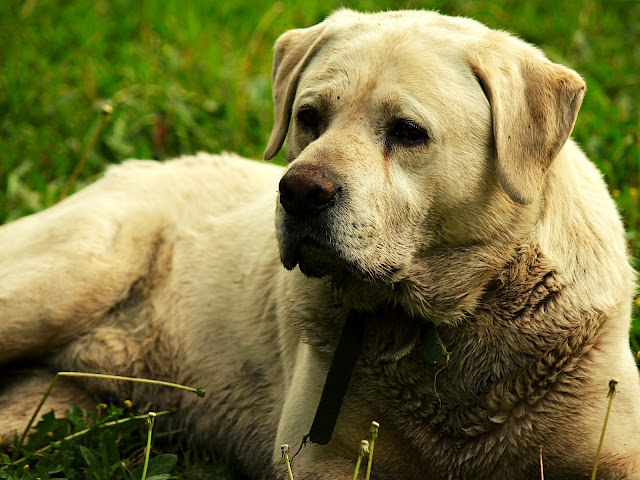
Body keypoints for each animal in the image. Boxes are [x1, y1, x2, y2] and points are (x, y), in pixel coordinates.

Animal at [1, 7, 640, 480]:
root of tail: (119, 171)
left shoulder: (613, 449)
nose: (299, 192)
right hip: (72, 275)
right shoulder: (318, 457)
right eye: (309, 117)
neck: (443, 326)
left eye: (408, 132)